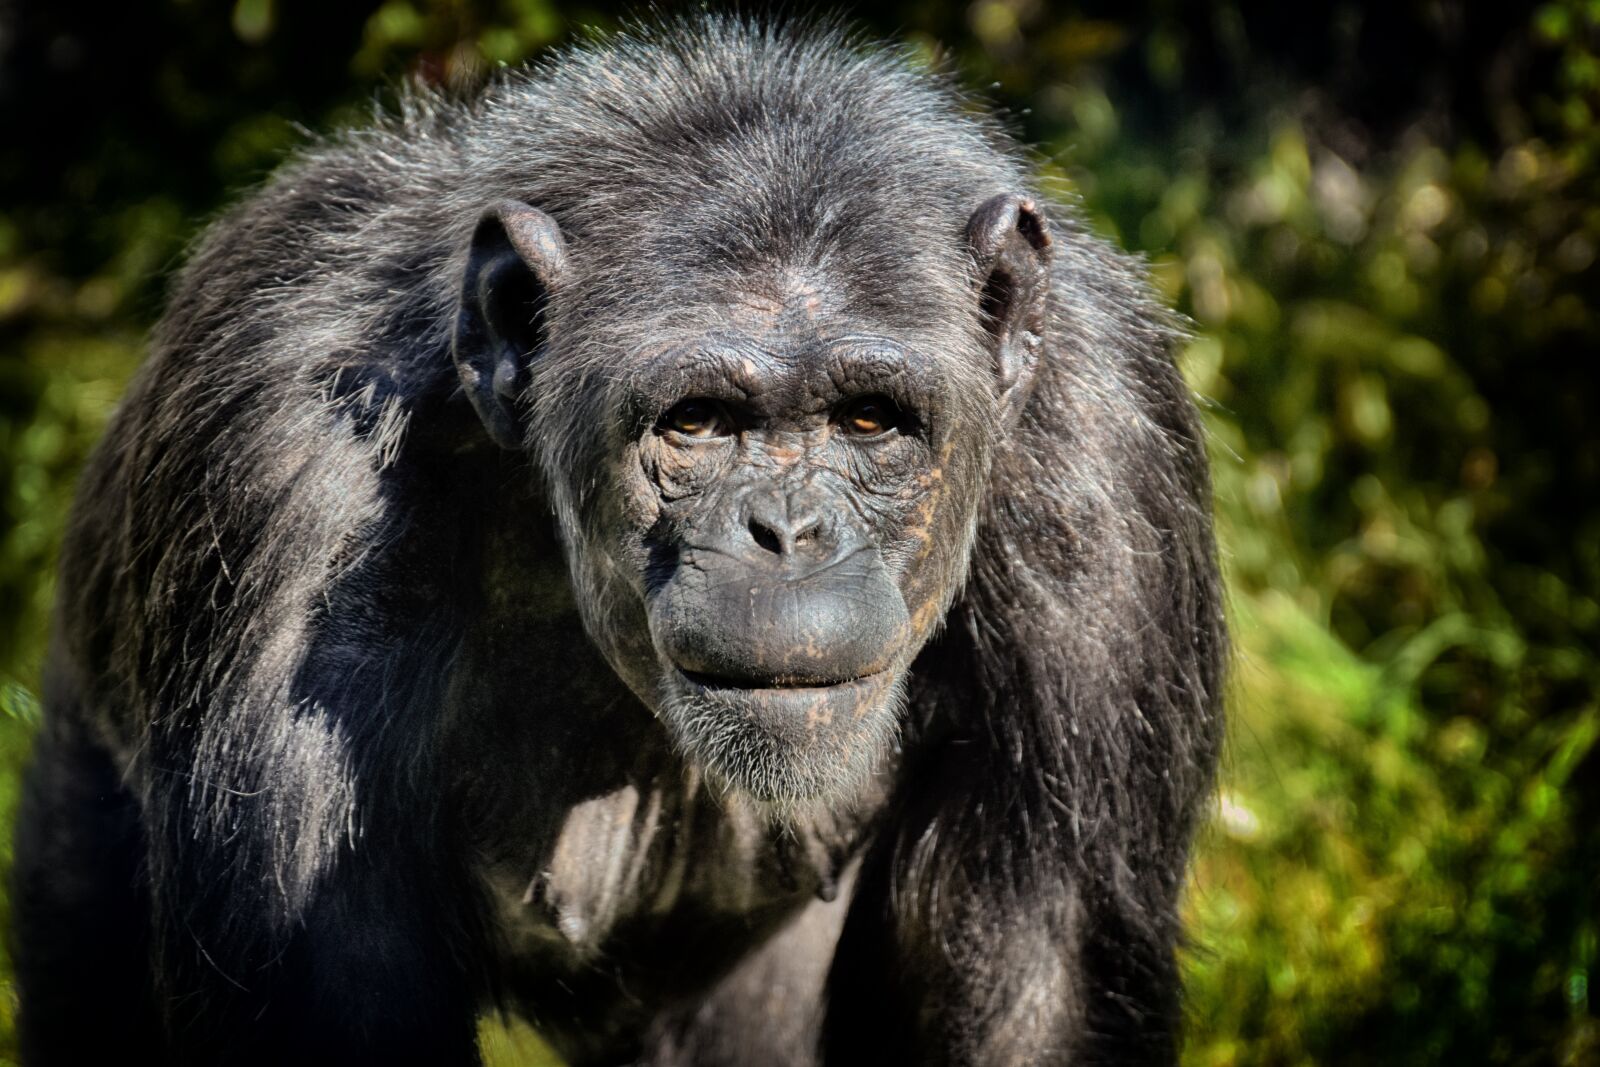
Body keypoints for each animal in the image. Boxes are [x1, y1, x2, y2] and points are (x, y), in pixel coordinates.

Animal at [11, 16, 1225, 1067]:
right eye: (696, 423)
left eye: (870, 421)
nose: (788, 531)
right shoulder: (277, 483)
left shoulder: (1106, 476)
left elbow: (1034, 977)